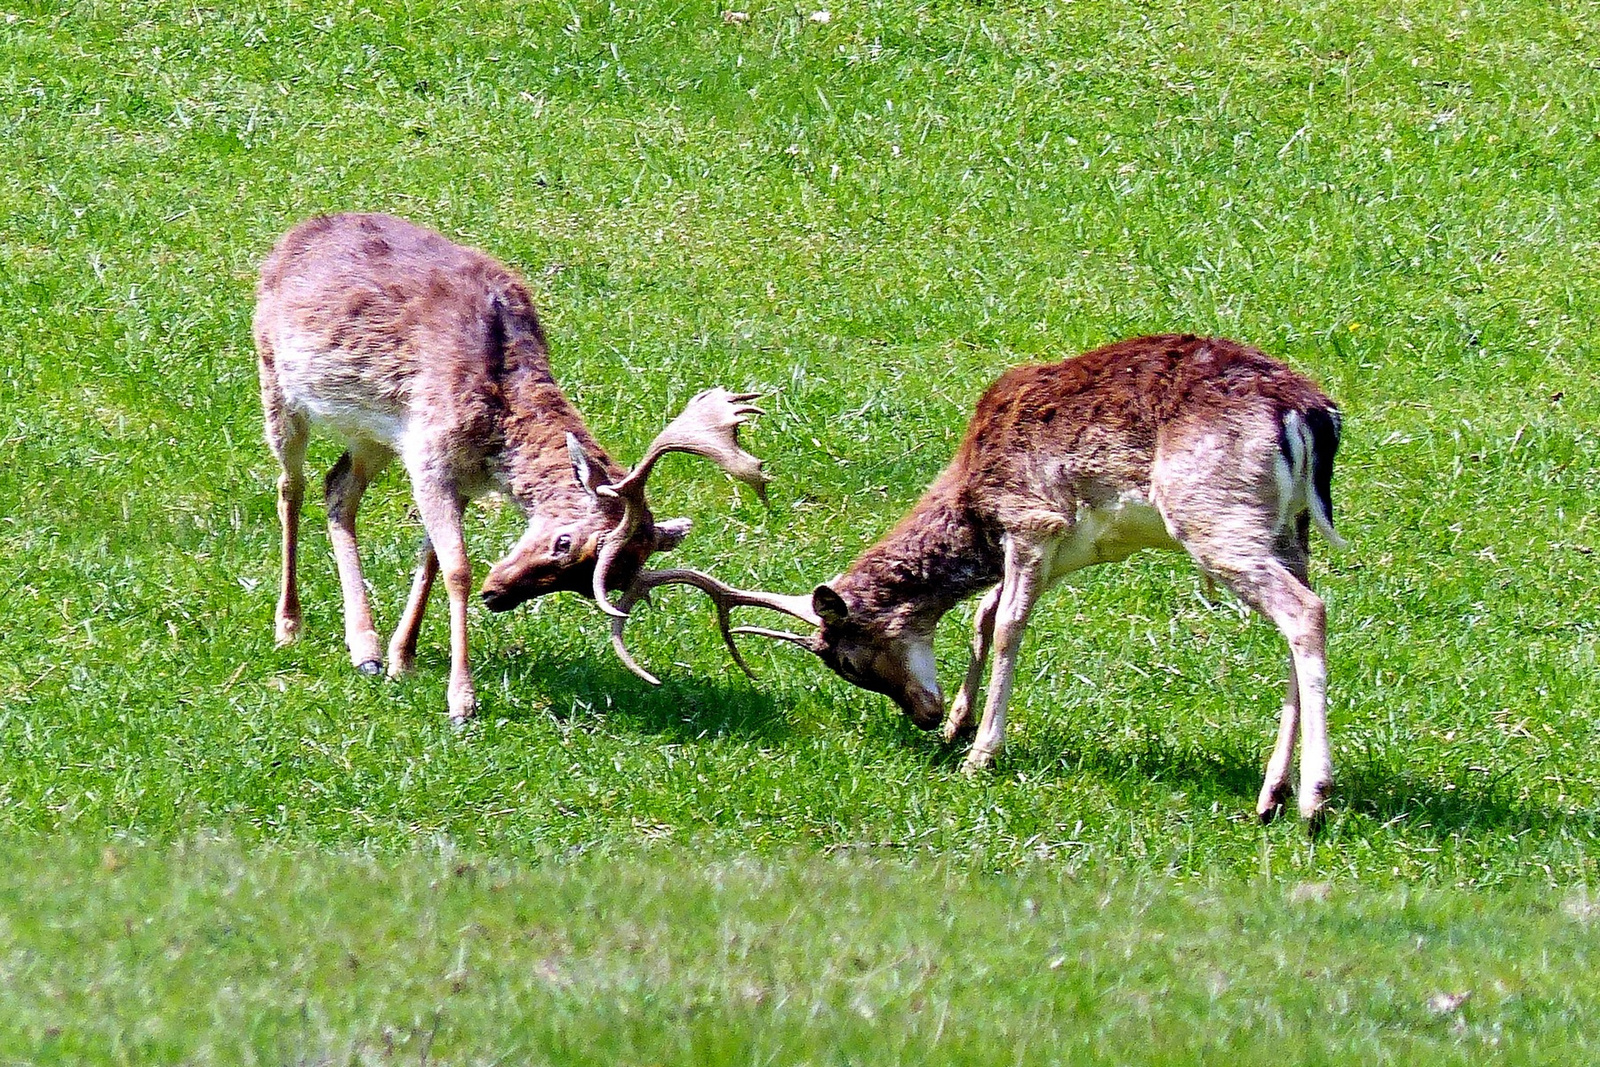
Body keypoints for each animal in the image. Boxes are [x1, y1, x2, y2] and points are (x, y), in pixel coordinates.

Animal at [254, 211, 768, 723]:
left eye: (590, 584)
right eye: (565, 542)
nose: (496, 594)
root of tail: (296, 233)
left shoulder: (453, 474)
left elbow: (432, 561)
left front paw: (403, 660)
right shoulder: (430, 457)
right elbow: (457, 568)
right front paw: (461, 701)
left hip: (369, 434)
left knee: (337, 489)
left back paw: (366, 650)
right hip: (274, 377)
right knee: (290, 487)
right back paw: (289, 625)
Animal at [630, 337, 1344, 825]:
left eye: (849, 660)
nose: (923, 715)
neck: (974, 501)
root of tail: (1311, 415)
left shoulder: (1031, 517)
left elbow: (1006, 627)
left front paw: (981, 754)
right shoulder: (1065, 544)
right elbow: (981, 616)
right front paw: (960, 727)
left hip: (1213, 514)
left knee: (1306, 610)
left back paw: (1313, 799)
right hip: (1288, 529)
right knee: (1294, 617)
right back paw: (1270, 796)